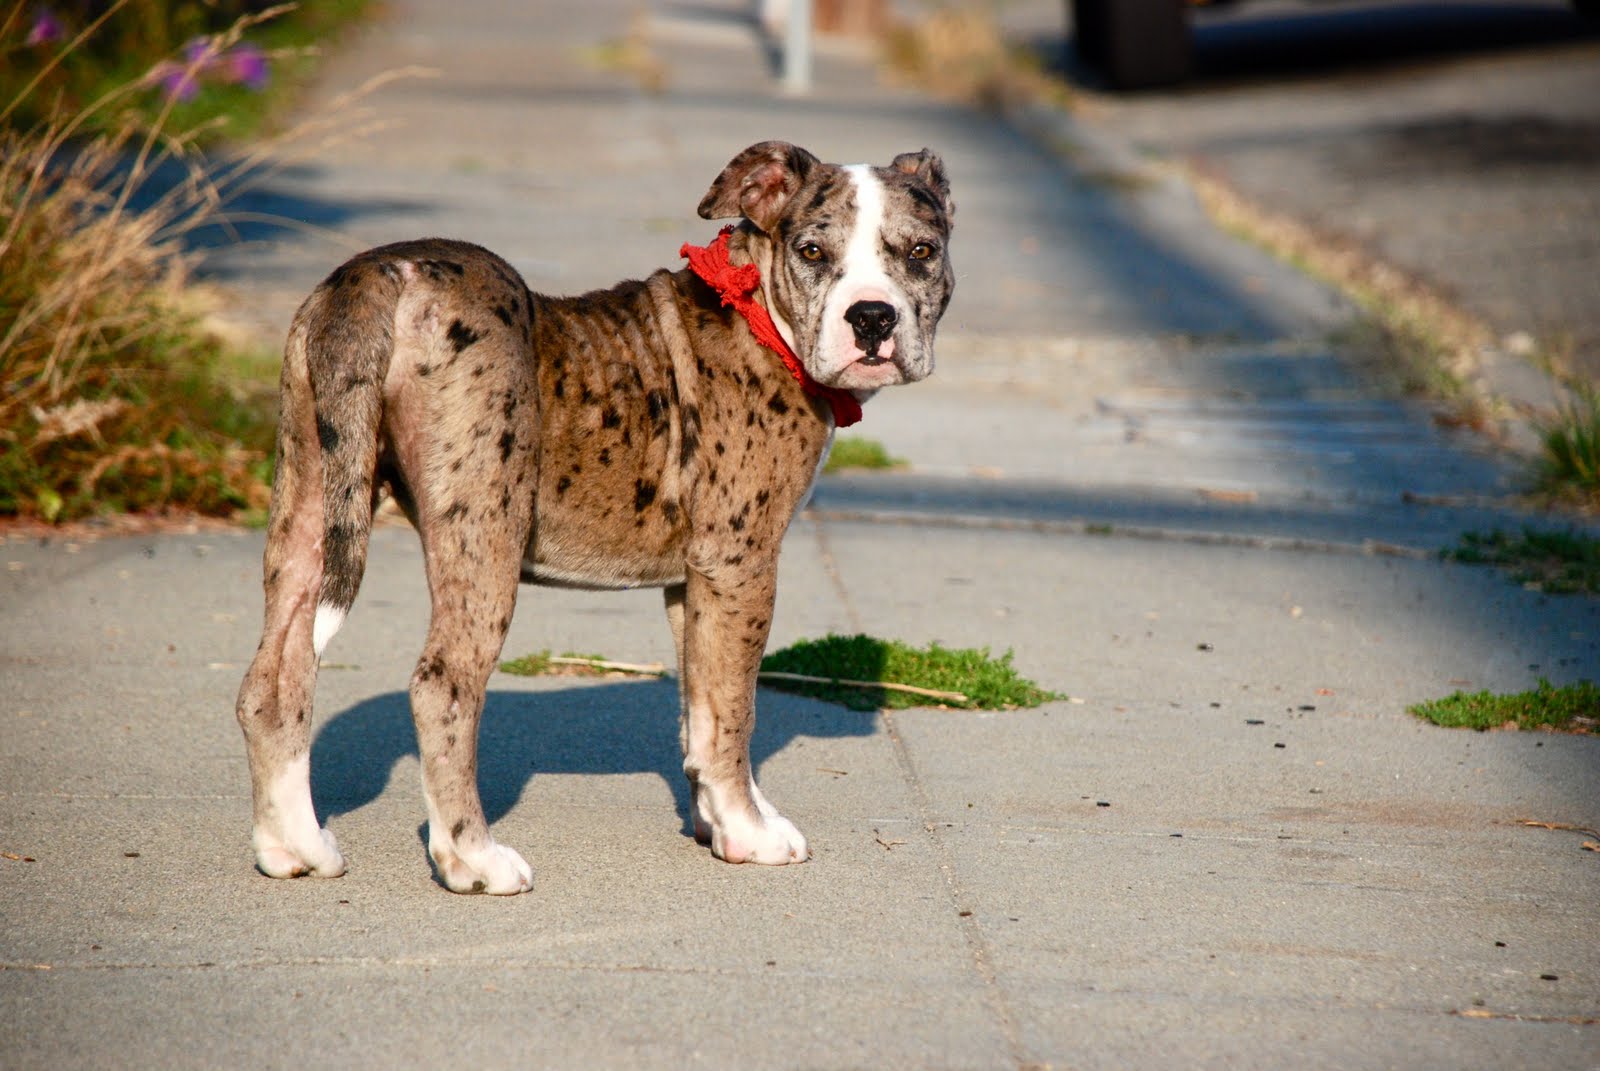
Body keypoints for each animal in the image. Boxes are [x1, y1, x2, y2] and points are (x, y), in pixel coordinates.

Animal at [236, 141, 947, 896]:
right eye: (812, 251)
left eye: (922, 251)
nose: (872, 318)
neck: (761, 311)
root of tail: (383, 272)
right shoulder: (741, 564)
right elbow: (735, 708)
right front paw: (750, 830)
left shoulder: (695, 582)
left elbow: (701, 706)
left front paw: (723, 820)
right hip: (483, 531)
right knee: (442, 684)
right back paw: (472, 858)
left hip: (313, 494)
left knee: (274, 680)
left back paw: (295, 845)